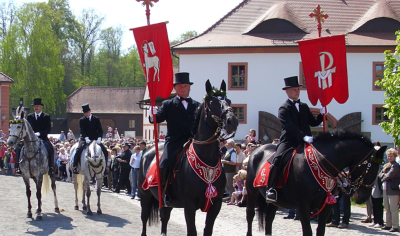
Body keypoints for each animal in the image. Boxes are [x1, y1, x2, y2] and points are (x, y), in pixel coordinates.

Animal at [139, 79, 238, 236]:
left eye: (228, 101)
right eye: (212, 102)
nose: (232, 121)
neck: (207, 160)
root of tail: (147, 152)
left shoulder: (216, 205)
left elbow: (208, 230)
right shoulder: (189, 205)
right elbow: (192, 231)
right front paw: (152, 110)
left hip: (167, 203)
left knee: (164, 219)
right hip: (145, 195)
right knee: (144, 218)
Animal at [245, 129, 386, 236]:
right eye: (373, 169)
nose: (364, 198)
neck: (320, 163)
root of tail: (257, 150)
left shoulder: (327, 206)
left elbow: (321, 230)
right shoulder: (303, 207)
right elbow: (308, 232)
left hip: (278, 200)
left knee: (269, 217)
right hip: (252, 192)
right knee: (250, 215)